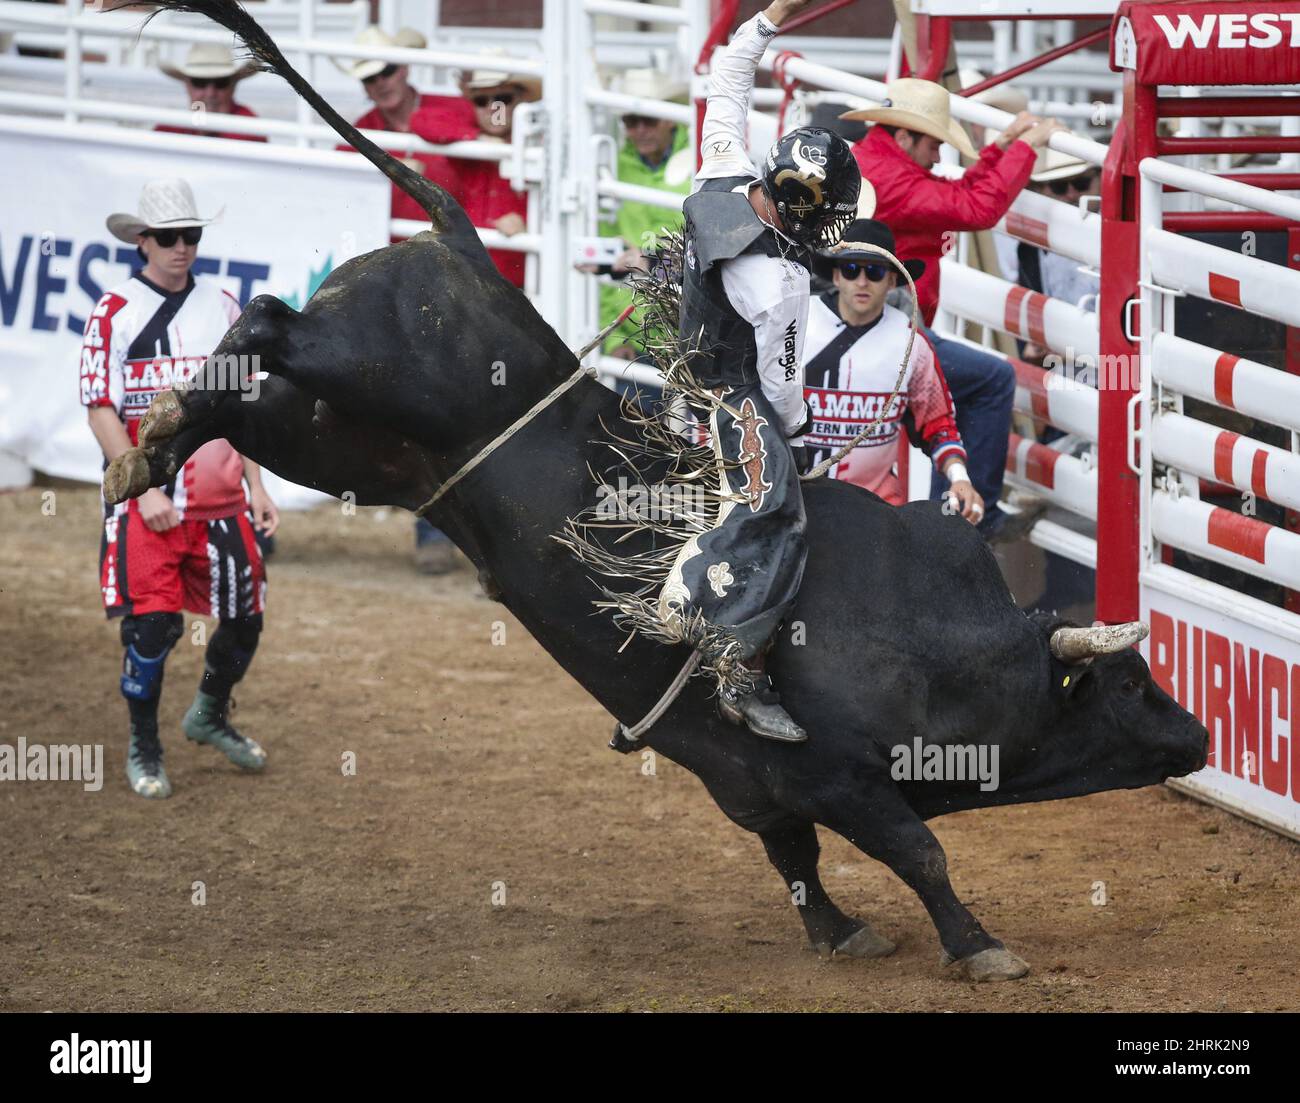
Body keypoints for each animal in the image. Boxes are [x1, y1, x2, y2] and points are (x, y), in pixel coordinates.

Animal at [106, 0, 1211, 983]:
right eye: (1128, 683)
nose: (1199, 733)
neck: (933, 643)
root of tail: (460, 246)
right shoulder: (843, 775)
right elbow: (919, 852)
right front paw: (980, 946)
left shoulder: (757, 785)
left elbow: (797, 860)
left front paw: (839, 931)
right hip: (362, 369)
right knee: (266, 317)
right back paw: (155, 437)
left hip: (341, 443)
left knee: (236, 399)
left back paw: (149, 447)